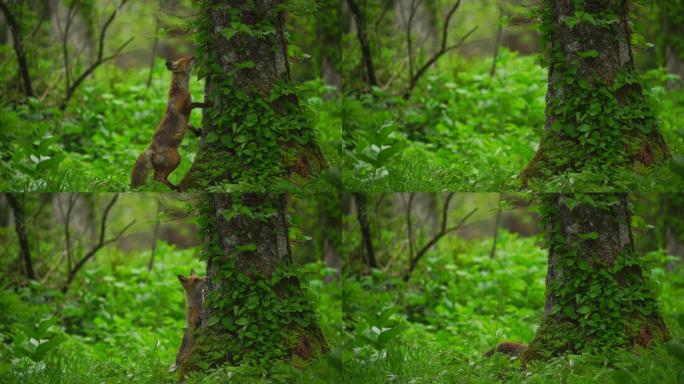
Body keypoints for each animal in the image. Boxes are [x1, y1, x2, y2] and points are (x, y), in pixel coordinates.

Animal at [130, 56, 207, 190]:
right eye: (187, 59)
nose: (195, 56)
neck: (179, 90)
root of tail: (151, 149)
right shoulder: (183, 108)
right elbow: (196, 104)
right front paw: (206, 104)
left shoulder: (185, 117)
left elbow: (190, 125)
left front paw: (198, 132)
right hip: (176, 158)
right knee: (159, 178)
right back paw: (176, 188)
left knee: (158, 178)